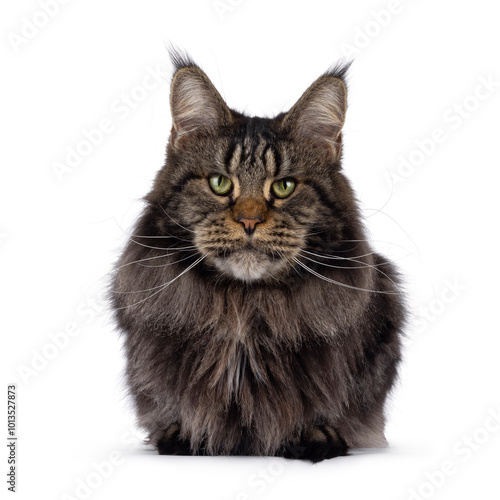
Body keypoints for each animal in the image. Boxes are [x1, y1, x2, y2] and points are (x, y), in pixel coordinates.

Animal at [110, 50, 406, 460]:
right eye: (220, 183)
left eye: (284, 186)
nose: (249, 220)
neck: (244, 309)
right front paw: (184, 435)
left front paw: (315, 435)